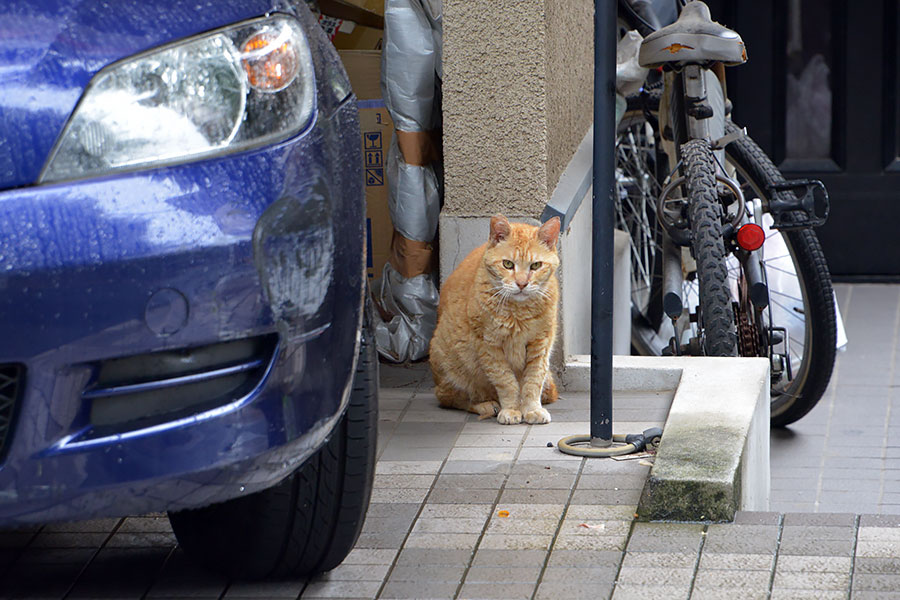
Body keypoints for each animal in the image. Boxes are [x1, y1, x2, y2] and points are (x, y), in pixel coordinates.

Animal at [430, 216, 564, 426]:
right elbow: (505, 381)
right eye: (508, 264)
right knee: (450, 397)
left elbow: (533, 380)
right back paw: (486, 405)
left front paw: (531, 409)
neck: (519, 312)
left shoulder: (541, 344)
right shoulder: (489, 346)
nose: (522, 284)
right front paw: (511, 409)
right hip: (450, 364)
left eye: (536, 266)